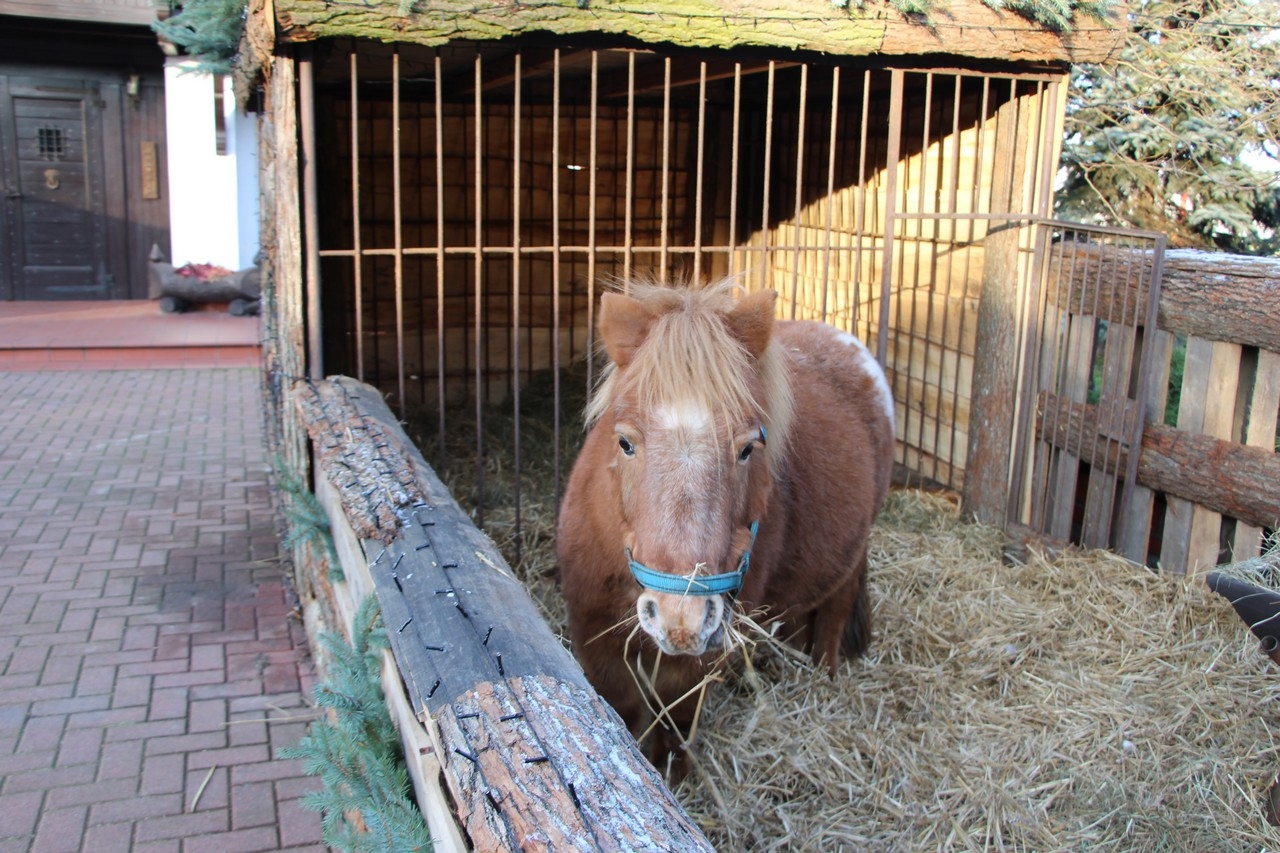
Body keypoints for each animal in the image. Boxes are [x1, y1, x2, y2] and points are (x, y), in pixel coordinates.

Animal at [555, 279, 896, 763]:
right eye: (624, 443)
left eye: (748, 447)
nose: (681, 619)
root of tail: (846, 341)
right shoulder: (594, 637)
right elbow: (623, 713)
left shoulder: (694, 664)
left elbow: (675, 726)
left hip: (850, 558)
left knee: (834, 613)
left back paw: (823, 676)